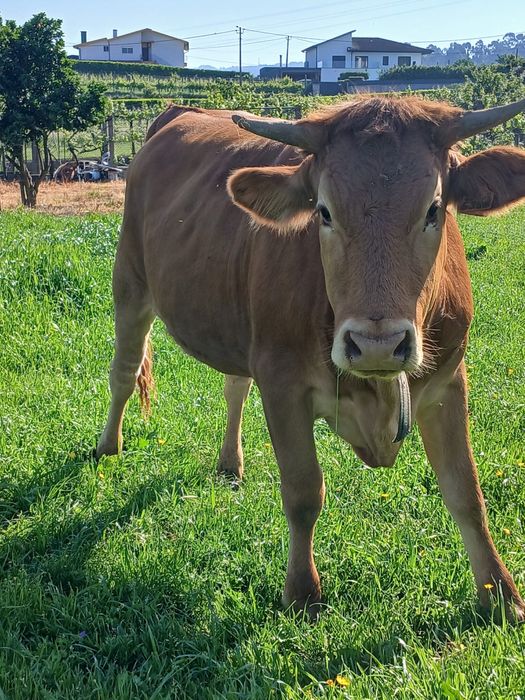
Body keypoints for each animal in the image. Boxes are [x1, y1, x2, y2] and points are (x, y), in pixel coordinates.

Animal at [97, 97, 525, 621]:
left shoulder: (449, 380)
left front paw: (501, 595)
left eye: (433, 209)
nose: (377, 344)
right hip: (129, 282)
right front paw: (302, 591)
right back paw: (107, 447)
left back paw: (230, 463)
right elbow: (304, 492)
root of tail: (181, 111)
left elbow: (466, 492)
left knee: (234, 385)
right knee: (124, 370)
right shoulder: (283, 384)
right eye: (323, 211)